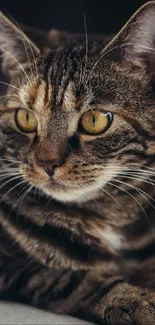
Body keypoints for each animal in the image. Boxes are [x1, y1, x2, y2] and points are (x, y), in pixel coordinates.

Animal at [0, 1, 155, 322]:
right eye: (25, 118)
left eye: (94, 120)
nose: (47, 162)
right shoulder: (17, 269)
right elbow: (76, 279)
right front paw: (134, 300)